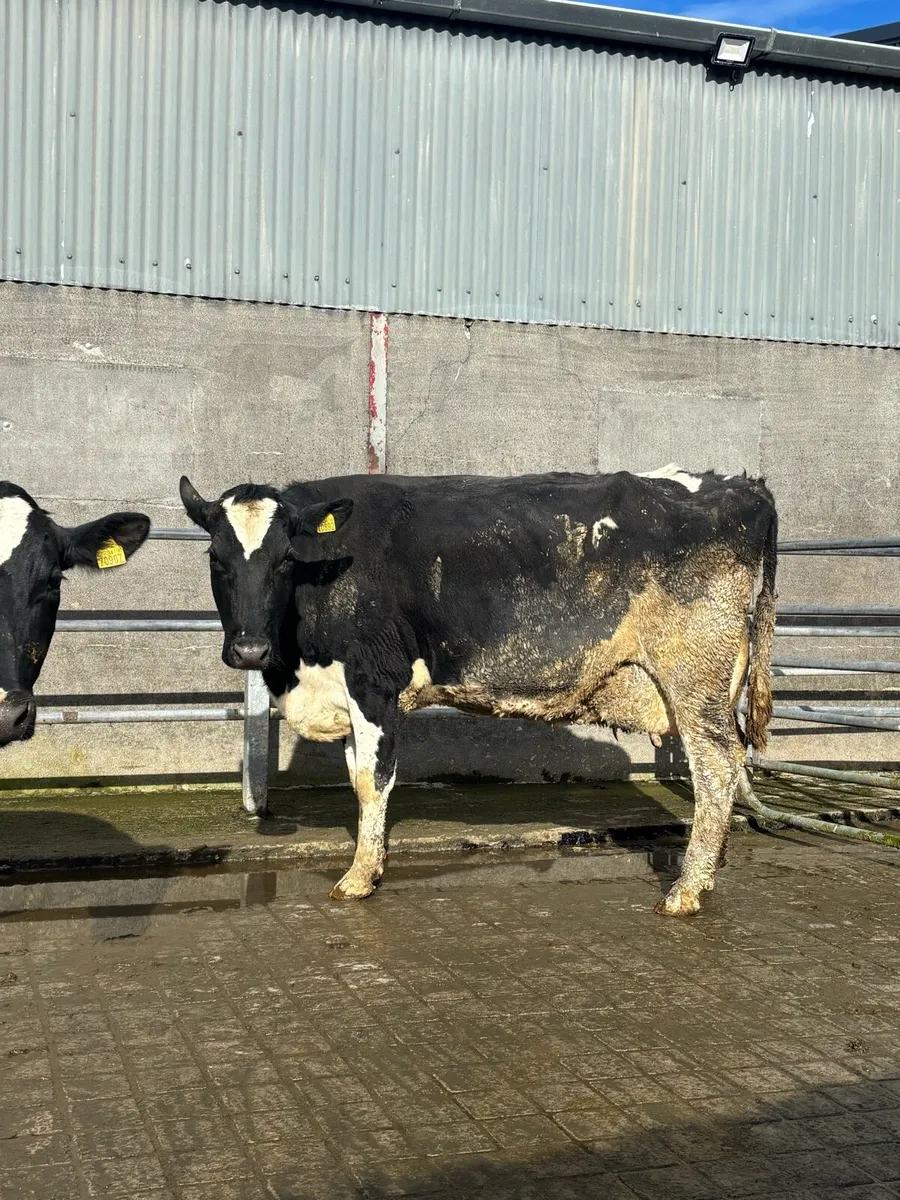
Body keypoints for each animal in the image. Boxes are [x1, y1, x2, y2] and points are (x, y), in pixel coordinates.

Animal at [180, 465, 777, 916]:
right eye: (216, 558)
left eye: (285, 559)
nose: (250, 650)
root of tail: (741, 486)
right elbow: (356, 777)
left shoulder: (374, 683)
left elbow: (372, 783)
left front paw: (359, 878)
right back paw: (708, 872)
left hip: (693, 676)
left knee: (717, 767)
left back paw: (686, 890)